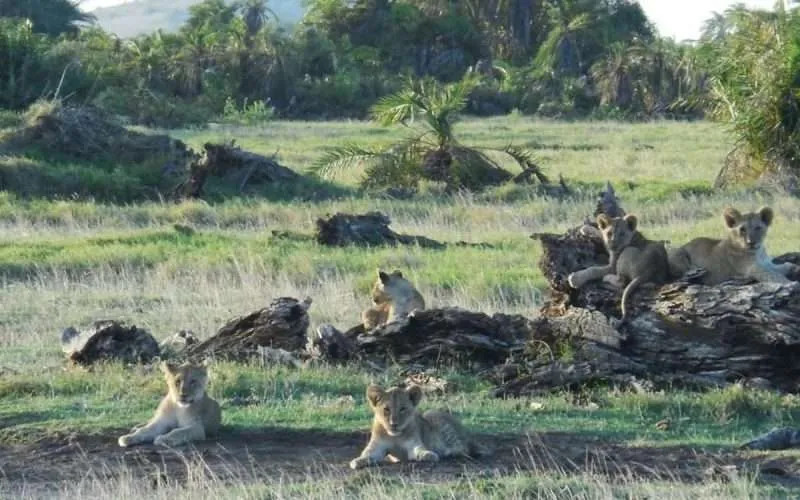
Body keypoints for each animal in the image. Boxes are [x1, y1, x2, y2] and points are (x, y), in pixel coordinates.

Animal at [349, 383, 486, 469]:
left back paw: (450, 452)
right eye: (386, 409)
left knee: (464, 448)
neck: (395, 436)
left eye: (403, 409)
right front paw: (357, 461)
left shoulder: (413, 444)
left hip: (433, 415)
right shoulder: (377, 447)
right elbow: (367, 454)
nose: (394, 424)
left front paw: (428, 455)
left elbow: (419, 450)